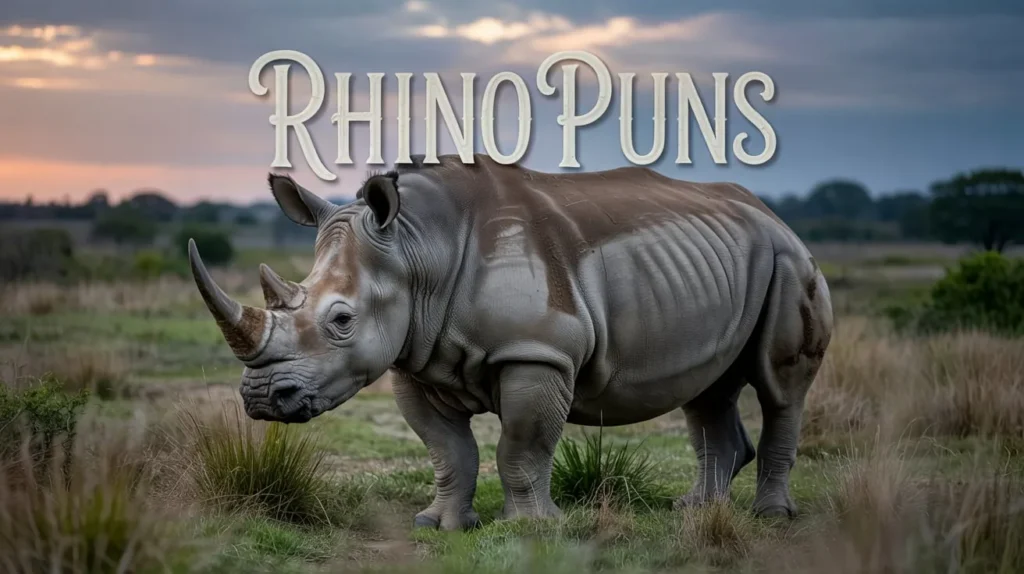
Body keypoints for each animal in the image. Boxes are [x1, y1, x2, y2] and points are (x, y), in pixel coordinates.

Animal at [188, 154, 833, 529]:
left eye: (342, 321)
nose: (262, 399)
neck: (418, 248)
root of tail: (775, 216)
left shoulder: (536, 352)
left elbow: (522, 447)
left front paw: (531, 528)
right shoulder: (412, 357)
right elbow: (448, 450)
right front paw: (440, 525)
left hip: (790, 262)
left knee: (780, 386)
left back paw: (771, 517)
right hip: (727, 262)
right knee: (707, 388)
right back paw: (694, 511)